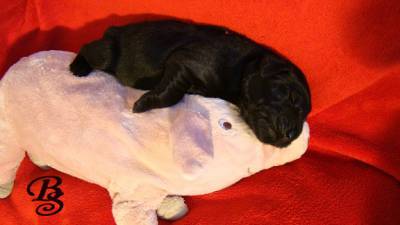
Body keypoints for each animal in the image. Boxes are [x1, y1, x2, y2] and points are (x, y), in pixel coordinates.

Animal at [70, 19, 310, 148]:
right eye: (291, 97)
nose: (291, 135)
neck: (243, 67)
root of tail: (114, 29)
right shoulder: (185, 63)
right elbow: (171, 94)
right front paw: (144, 104)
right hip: (107, 53)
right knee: (87, 48)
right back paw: (78, 68)